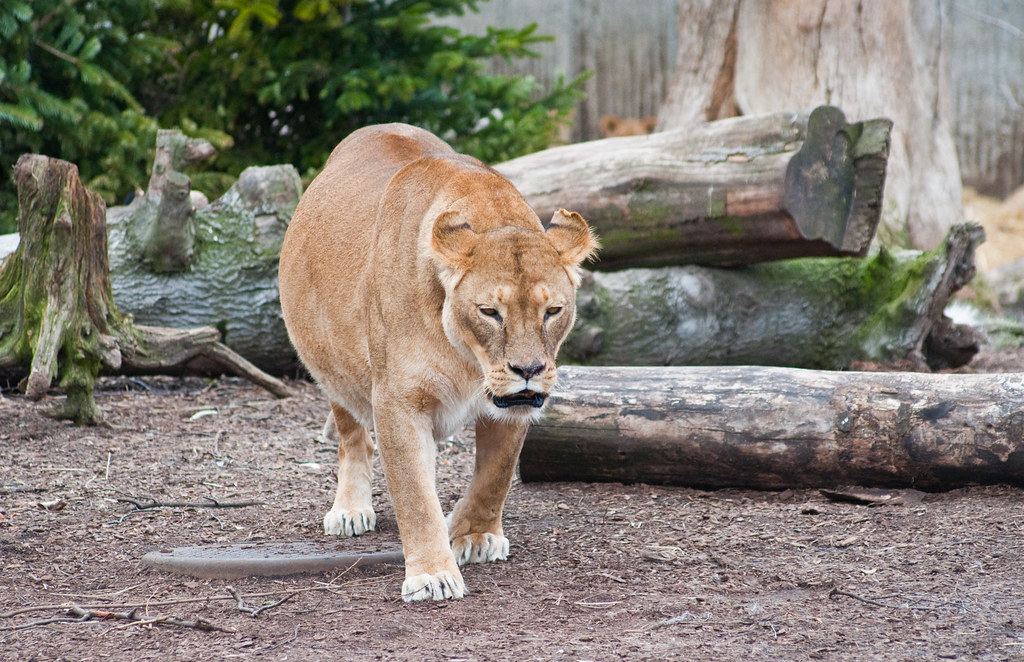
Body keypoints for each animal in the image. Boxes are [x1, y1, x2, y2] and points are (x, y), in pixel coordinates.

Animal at [278, 123, 598, 602]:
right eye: (490, 312)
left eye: (553, 311)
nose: (528, 371)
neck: (468, 359)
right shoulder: (398, 399)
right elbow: (414, 493)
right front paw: (431, 574)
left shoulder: (512, 408)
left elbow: (495, 475)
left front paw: (474, 534)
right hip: (331, 366)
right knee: (352, 436)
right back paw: (350, 509)